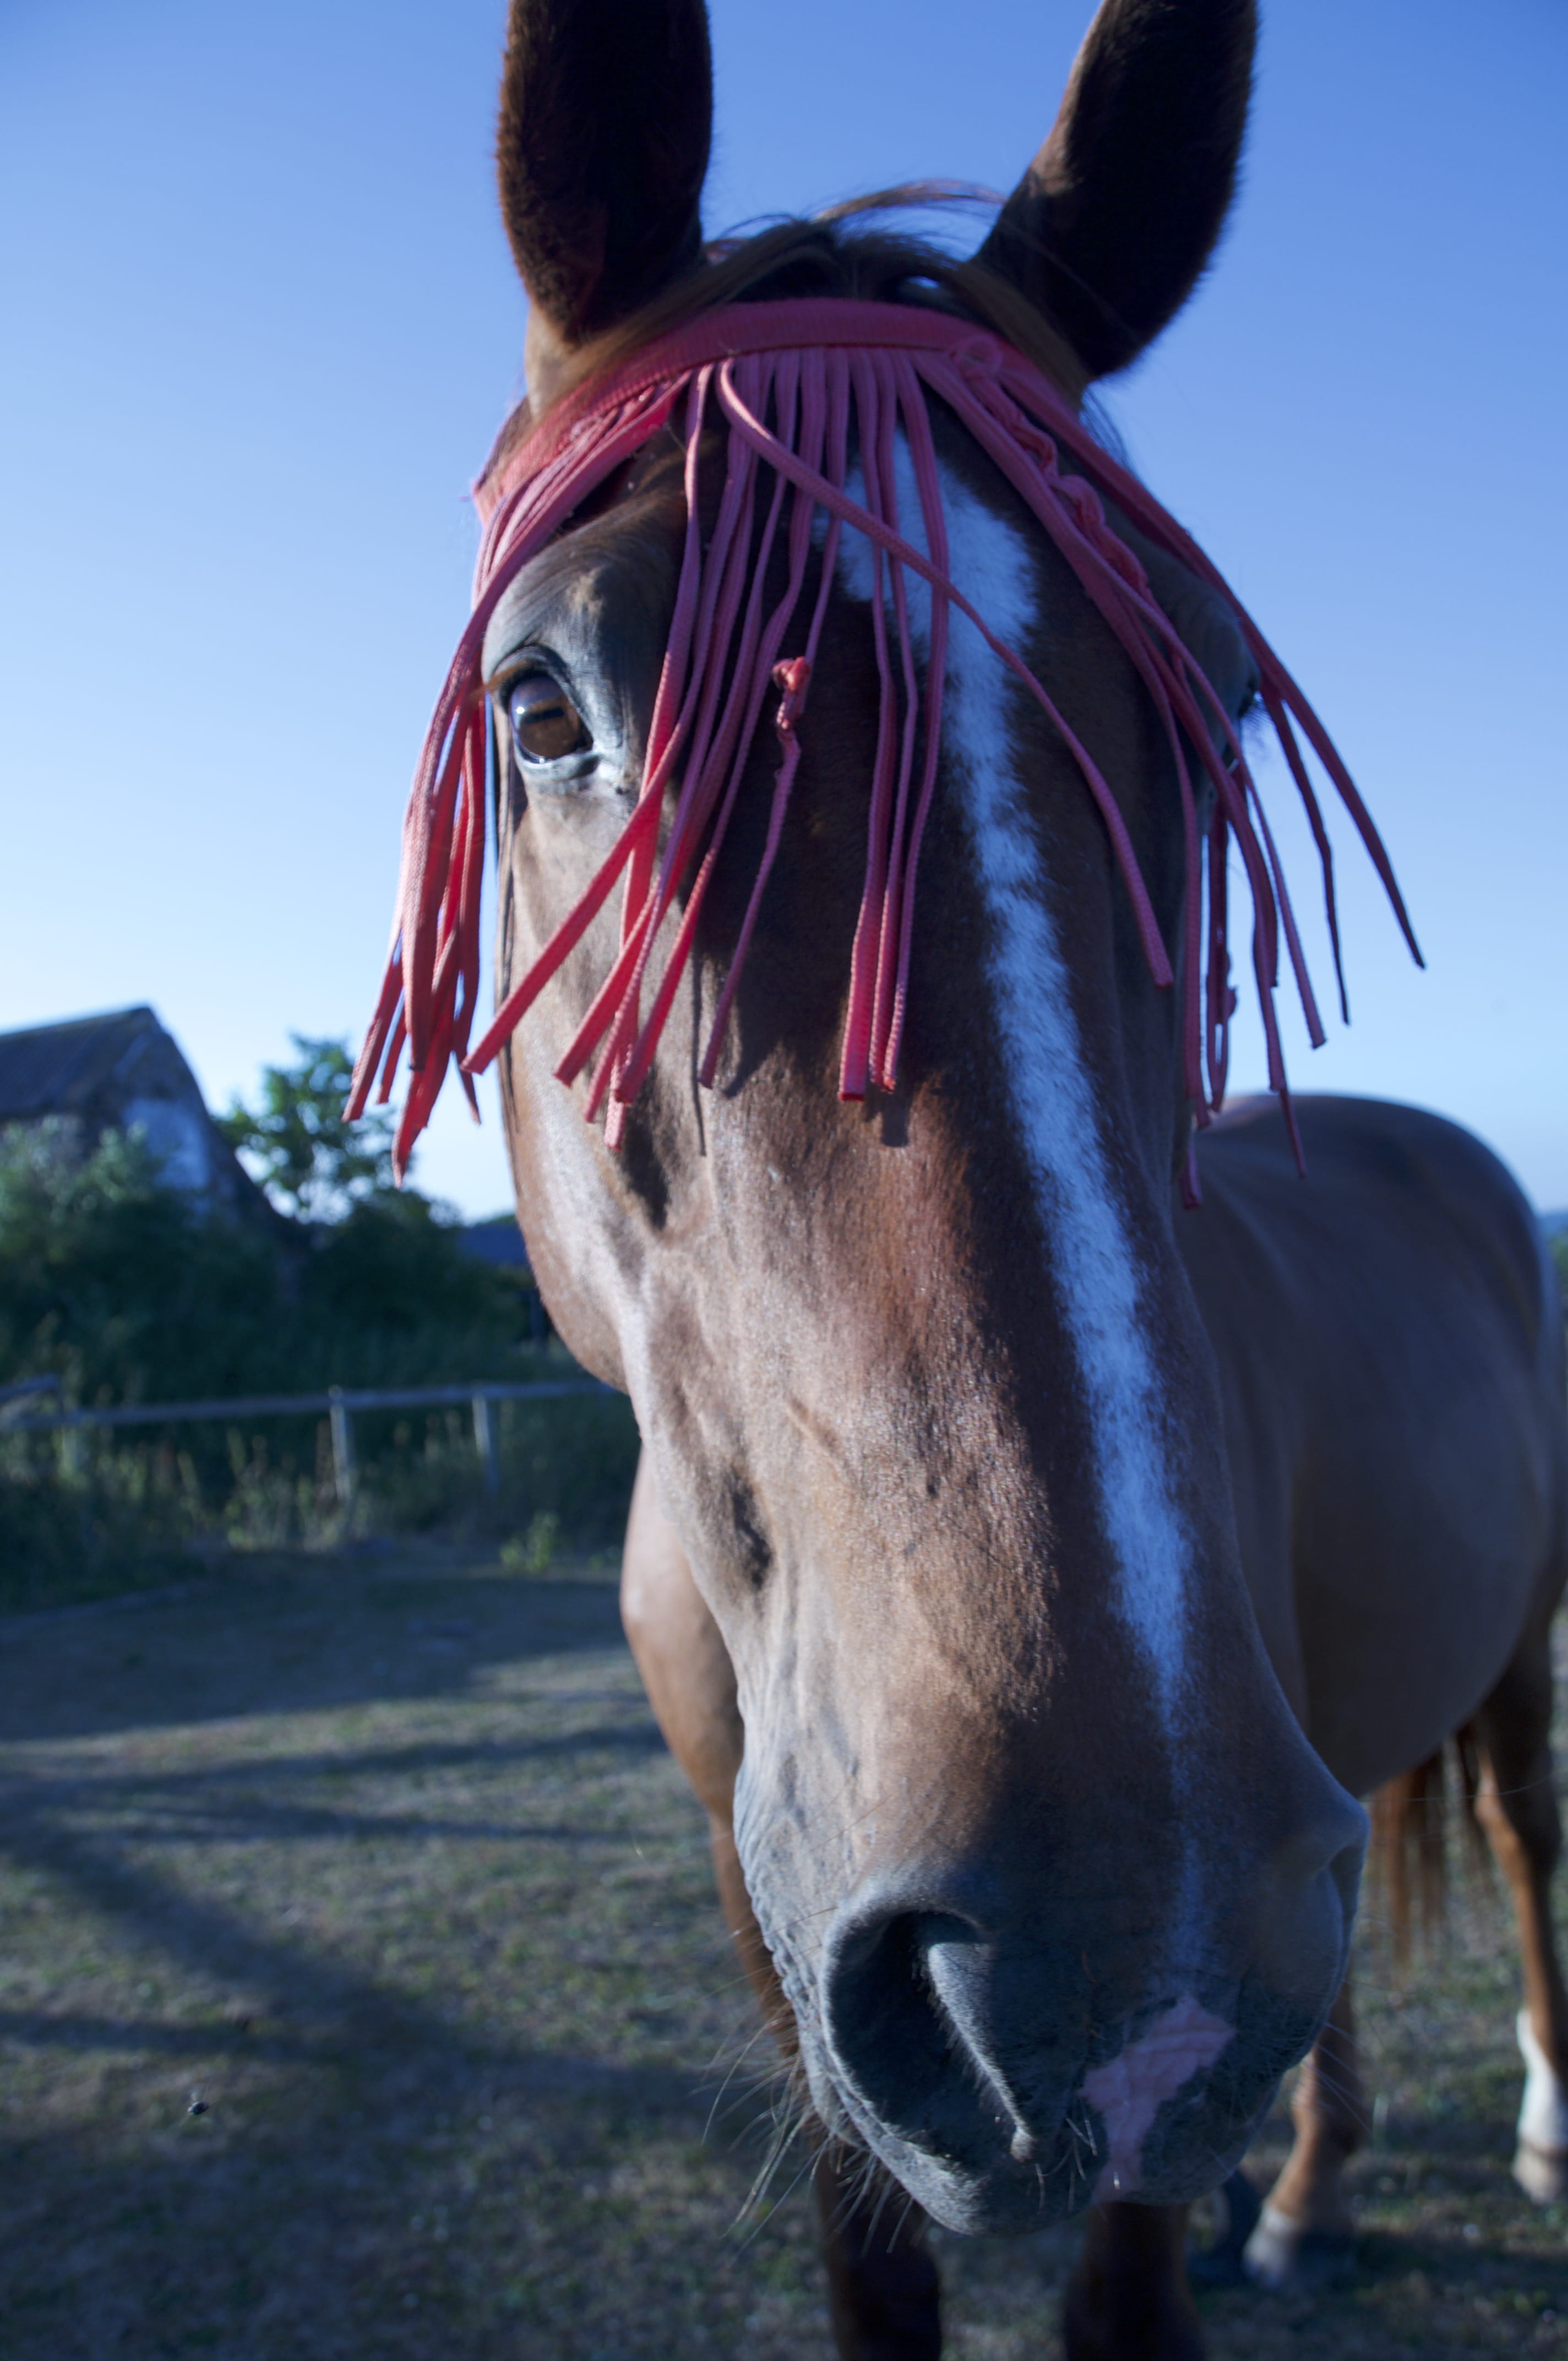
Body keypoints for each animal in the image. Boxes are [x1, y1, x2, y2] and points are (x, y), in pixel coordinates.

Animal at [350, 1, 1568, 2353]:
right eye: (541, 704)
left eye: (1212, 719)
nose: (1108, 1950)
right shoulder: (791, 1936)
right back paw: (1307, 2179)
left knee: (1520, 1844)